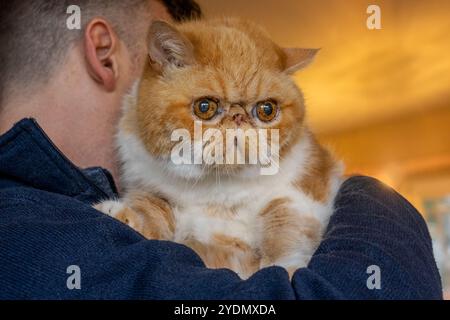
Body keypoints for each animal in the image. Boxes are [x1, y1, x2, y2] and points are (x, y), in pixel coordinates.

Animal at [93, 17, 342, 278]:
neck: (217, 187)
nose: (238, 117)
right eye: (205, 107)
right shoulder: (151, 189)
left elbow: (285, 223)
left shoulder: (304, 189)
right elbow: (151, 212)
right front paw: (118, 213)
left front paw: (285, 266)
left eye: (266, 109)